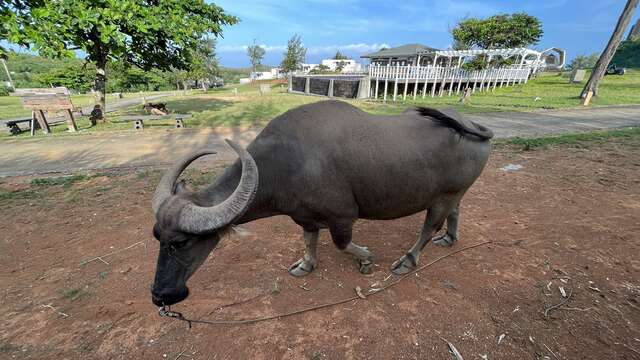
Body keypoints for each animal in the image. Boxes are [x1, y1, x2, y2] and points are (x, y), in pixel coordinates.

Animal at [149, 100, 490, 306]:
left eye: (181, 242)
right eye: (157, 236)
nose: (161, 295)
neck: (286, 163)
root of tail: (474, 126)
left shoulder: (343, 216)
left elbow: (342, 244)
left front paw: (367, 260)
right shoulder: (305, 216)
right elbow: (308, 239)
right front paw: (305, 265)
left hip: (442, 197)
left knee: (429, 227)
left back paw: (407, 260)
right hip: (456, 193)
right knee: (454, 213)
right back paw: (449, 239)